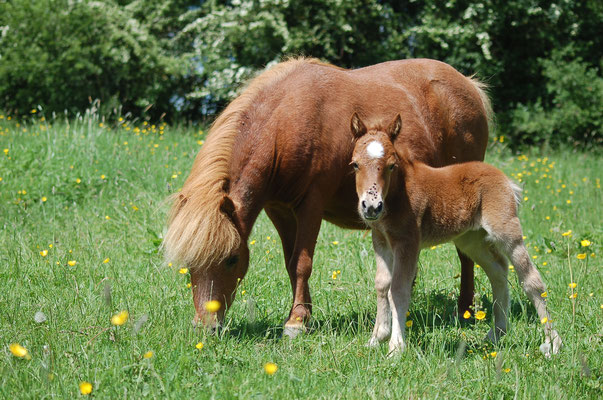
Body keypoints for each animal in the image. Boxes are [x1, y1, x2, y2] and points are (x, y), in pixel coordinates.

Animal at [164, 57, 490, 334]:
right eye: (189, 264)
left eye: (232, 259)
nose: (206, 327)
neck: (287, 119)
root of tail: (469, 84)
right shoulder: (279, 210)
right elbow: (289, 262)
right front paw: (303, 313)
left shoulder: (311, 204)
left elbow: (301, 262)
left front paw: (296, 322)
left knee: (465, 255)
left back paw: (465, 310)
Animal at [352, 114, 564, 358]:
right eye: (355, 164)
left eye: (391, 166)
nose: (371, 207)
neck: (398, 194)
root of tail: (506, 180)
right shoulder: (381, 239)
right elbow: (382, 284)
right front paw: (377, 338)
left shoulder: (408, 242)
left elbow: (398, 289)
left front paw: (396, 347)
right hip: (471, 239)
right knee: (498, 270)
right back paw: (497, 333)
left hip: (506, 230)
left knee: (531, 280)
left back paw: (552, 342)